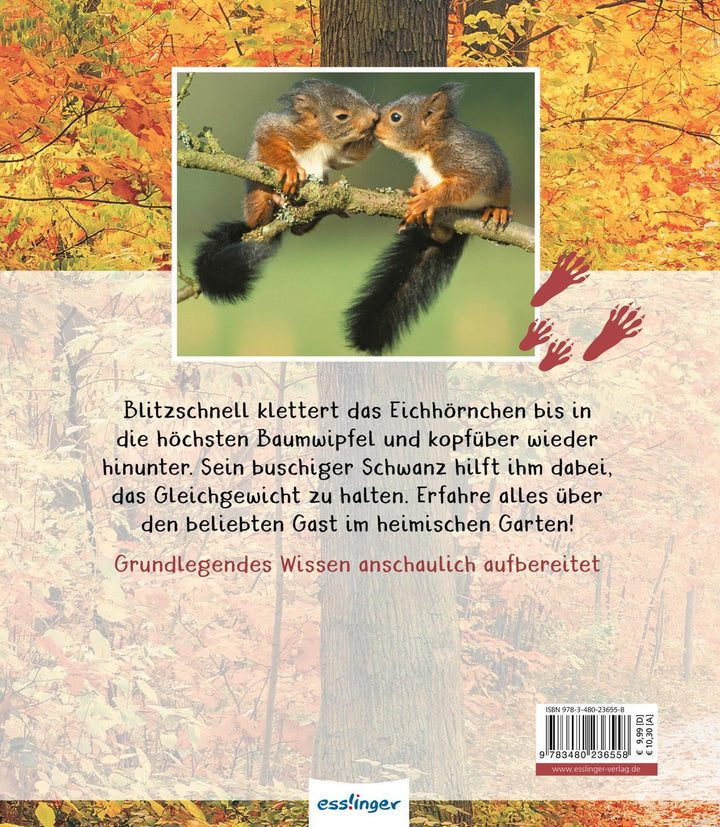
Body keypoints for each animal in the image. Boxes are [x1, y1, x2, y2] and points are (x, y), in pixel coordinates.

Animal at [194, 79, 378, 303]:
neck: (321, 139)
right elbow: (266, 134)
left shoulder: (337, 154)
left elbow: (347, 159)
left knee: (299, 229)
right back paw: (273, 203)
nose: (374, 117)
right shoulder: (283, 129)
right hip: (256, 197)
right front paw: (289, 168)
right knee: (260, 218)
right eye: (342, 116)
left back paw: (325, 207)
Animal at [345, 83, 512, 355]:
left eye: (395, 117)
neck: (428, 147)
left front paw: (426, 201)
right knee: (442, 236)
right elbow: (422, 181)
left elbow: (455, 188)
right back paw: (433, 226)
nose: (372, 125)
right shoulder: (425, 172)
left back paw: (498, 210)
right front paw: (416, 192)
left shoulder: (467, 164)